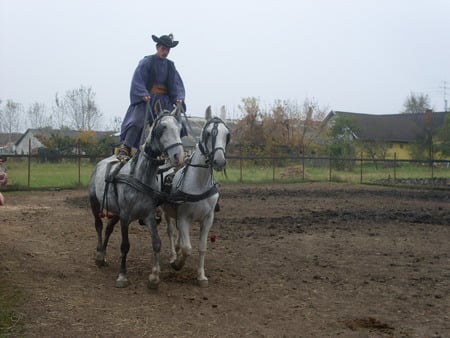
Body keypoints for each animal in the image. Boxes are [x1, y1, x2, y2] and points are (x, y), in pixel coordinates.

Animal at [89, 104, 185, 290]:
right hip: (95, 203)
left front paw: (154, 277)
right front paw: (122, 276)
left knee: (108, 228)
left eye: (179, 128)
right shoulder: (126, 217)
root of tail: (101, 163)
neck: (140, 176)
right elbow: (125, 246)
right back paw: (98, 255)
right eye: (162, 128)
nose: (179, 156)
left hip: (116, 212)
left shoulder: (148, 215)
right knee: (98, 225)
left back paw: (103, 254)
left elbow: (156, 243)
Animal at [162, 107, 230, 286]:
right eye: (207, 133)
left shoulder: (207, 219)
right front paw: (177, 264)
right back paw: (173, 255)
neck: (199, 183)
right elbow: (188, 249)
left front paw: (201, 276)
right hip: (167, 213)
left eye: (227, 134)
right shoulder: (184, 218)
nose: (219, 161)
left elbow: (202, 248)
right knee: (171, 231)